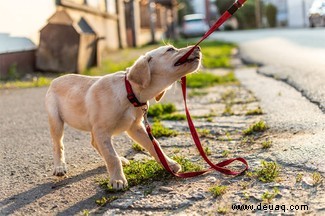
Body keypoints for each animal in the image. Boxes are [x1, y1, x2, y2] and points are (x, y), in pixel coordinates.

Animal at [44, 45, 201, 189]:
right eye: (170, 49)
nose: (198, 47)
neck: (129, 92)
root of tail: (54, 80)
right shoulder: (102, 130)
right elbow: (112, 157)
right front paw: (118, 180)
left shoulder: (135, 127)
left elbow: (154, 145)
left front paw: (169, 164)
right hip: (56, 121)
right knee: (58, 145)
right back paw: (59, 167)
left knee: (95, 143)